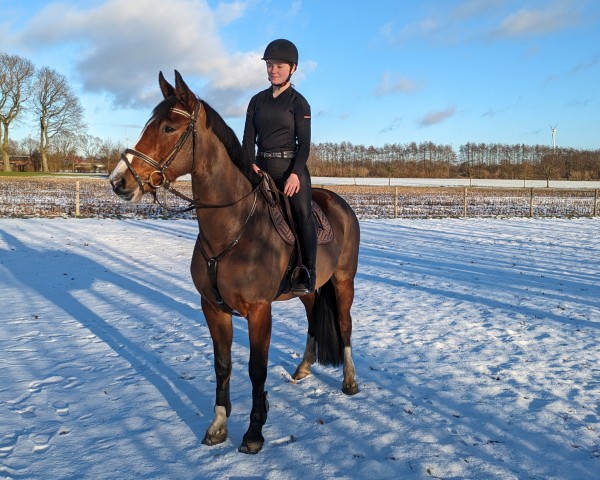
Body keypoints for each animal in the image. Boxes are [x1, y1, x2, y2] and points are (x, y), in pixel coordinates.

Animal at [108, 71, 358, 454]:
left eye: (168, 128)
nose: (118, 181)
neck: (233, 228)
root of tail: (340, 203)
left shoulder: (258, 310)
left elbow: (257, 369)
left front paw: (254, 433)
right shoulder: (213, 308)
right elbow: (222, 365)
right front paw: (218, 426)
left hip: (345, 280)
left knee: (344, 325)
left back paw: (349, 381)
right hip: (309, 287)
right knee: (314, 316)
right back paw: (303, 368)